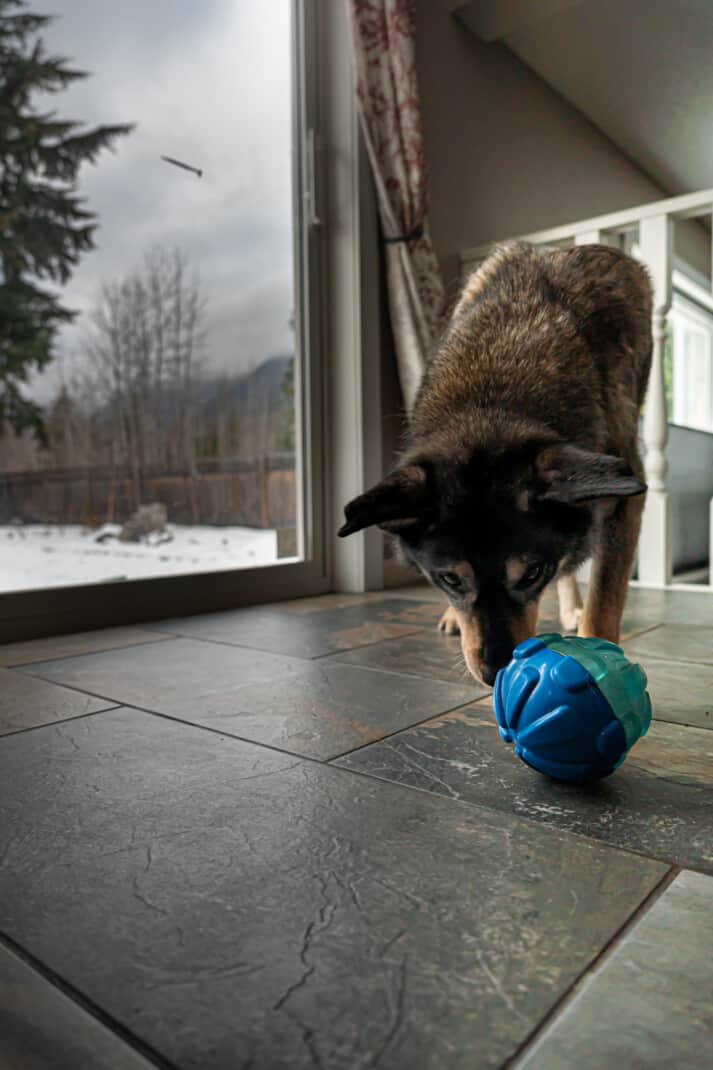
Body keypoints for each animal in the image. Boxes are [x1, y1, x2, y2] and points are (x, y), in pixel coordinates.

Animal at [338, 240, 650, 684]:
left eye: (533, 574)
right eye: (449, 578)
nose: (494, 673)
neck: (495, 394)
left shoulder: (623, 500)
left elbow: (604, 602)